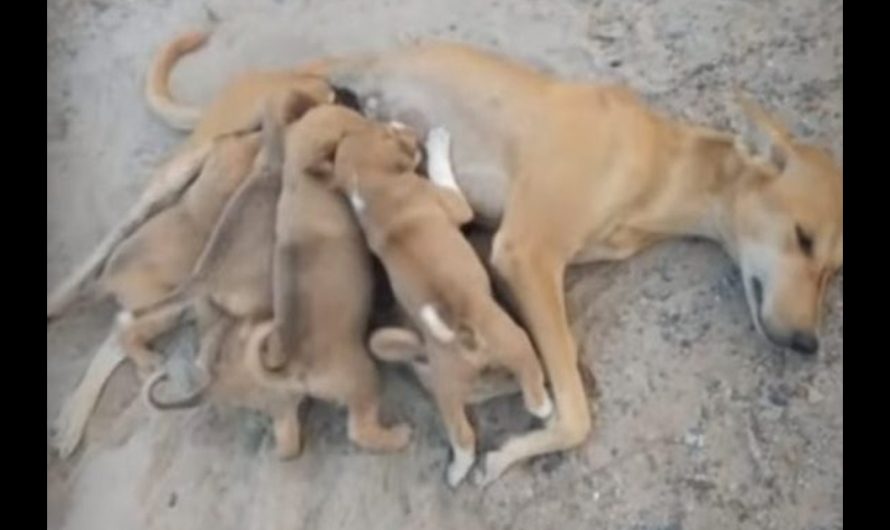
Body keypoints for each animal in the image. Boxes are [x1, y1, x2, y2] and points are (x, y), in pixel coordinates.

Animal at [316, 122, 552, 482]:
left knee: (463, 437)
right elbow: (444, 175)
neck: (372, 188)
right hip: (515, 341)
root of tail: (460, 332)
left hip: (447, 391)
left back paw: (457, 471)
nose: (401, 125)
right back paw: (543, 405)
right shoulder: (452, 202)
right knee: (529, 376)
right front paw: (437, 143)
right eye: (387, 130)